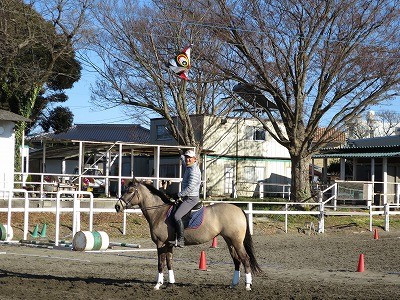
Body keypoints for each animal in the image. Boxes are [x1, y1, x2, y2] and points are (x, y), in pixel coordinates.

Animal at [115, 179, 262, 290]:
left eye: (129, 191)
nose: (117, 206)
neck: (159, 213)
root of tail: (238, 209)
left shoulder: (160, 244)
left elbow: (160, 264)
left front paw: (158, 284)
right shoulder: (169, 245)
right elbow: (169, 262)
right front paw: (170, 283)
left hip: (236, 241)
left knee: (245, 259)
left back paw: (247, 285)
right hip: (229, 241)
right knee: (237, 260)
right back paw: (233, 284)